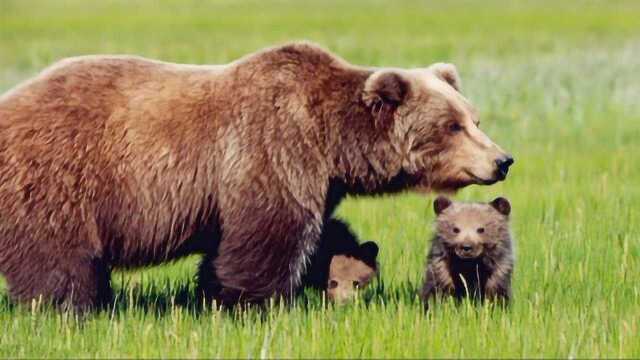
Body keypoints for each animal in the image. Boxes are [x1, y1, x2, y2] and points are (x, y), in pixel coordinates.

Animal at [0, 42, 512, 310]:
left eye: (475, 119)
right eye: (451, 125)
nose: (503, 160)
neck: (330, 140)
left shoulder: (316, 180)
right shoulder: (271, 149)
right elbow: (268, 236)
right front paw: (252, 303)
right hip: (59, 176)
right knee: (58, 257)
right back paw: (71, 307)